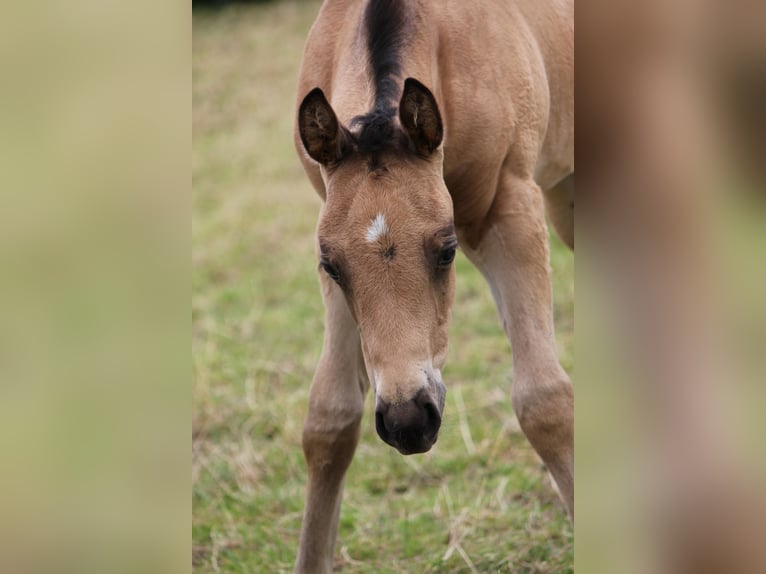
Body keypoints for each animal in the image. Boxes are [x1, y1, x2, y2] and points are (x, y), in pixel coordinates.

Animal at [292, 0, 572, 572]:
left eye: (447, 251)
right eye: (332, 267)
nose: (407, 421)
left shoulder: (510, 208)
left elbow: (545, 400)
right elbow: (329, 417)